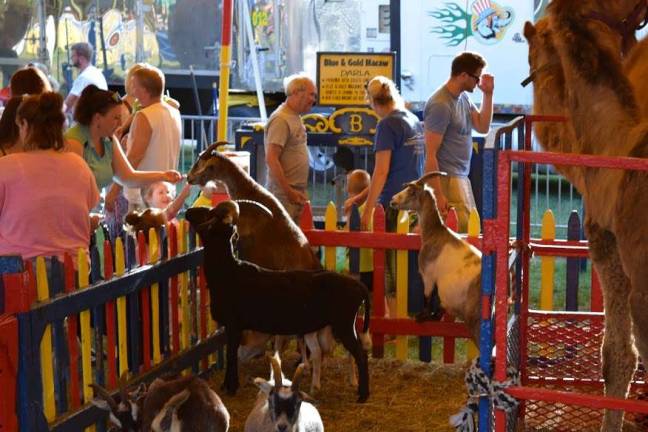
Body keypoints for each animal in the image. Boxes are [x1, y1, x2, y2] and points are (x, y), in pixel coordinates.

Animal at [185, 201, 372, 404]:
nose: (188, 211)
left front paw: (231, 387)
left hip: (343, 325)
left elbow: (231, 355)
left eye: (209, 215)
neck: (229, 270)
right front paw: (226, 385)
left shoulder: (234, 325)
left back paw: (362, 395)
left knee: (361, 355)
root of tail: (358, 285)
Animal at [390, 172, 480, 344]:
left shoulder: (428, 275)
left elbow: (427, 296)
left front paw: (422, 316)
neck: (435, 233)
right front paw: (433, 315)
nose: (393, 200)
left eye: (412, 191)